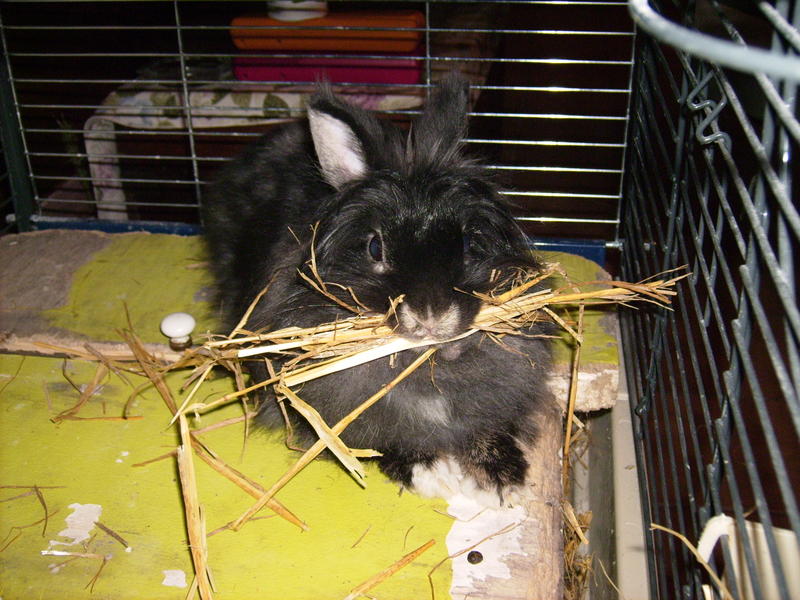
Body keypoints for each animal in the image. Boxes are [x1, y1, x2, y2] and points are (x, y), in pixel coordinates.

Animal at [202, 74, 552, 507]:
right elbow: (374, 438)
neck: (425, 367)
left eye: (470, 244)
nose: (432, 315)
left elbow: (487, 427)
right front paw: (430, 472)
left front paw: (503, 481)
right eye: (374, 247)